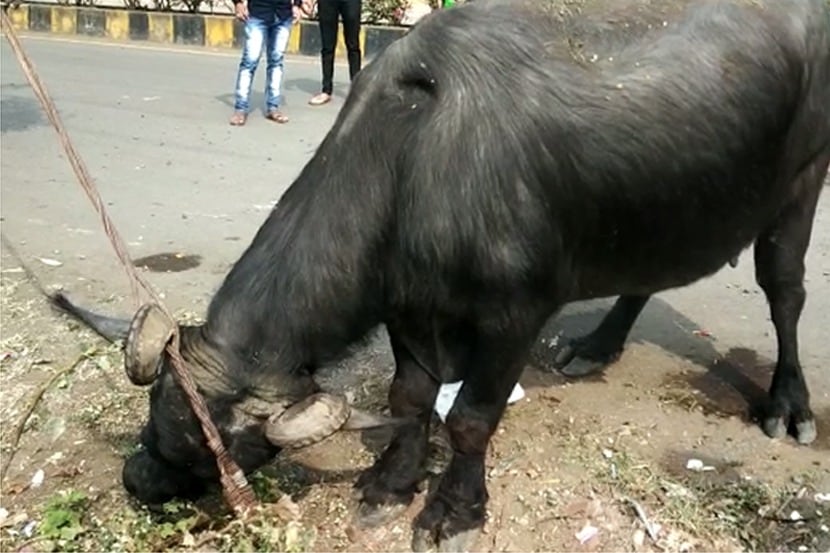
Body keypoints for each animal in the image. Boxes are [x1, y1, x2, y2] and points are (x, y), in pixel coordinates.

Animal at [53, 0, 830, 548]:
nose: (137, 478)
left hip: (804, 180)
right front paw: (390, 484)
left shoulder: (513, 316)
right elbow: (411, 397)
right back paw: (595, 346)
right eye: (159, 413)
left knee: (785, 290)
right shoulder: (409, 307)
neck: (415, 156)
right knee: (647, 272)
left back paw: (788, 405)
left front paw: (453, 510)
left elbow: (470, 419)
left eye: (222, 447)